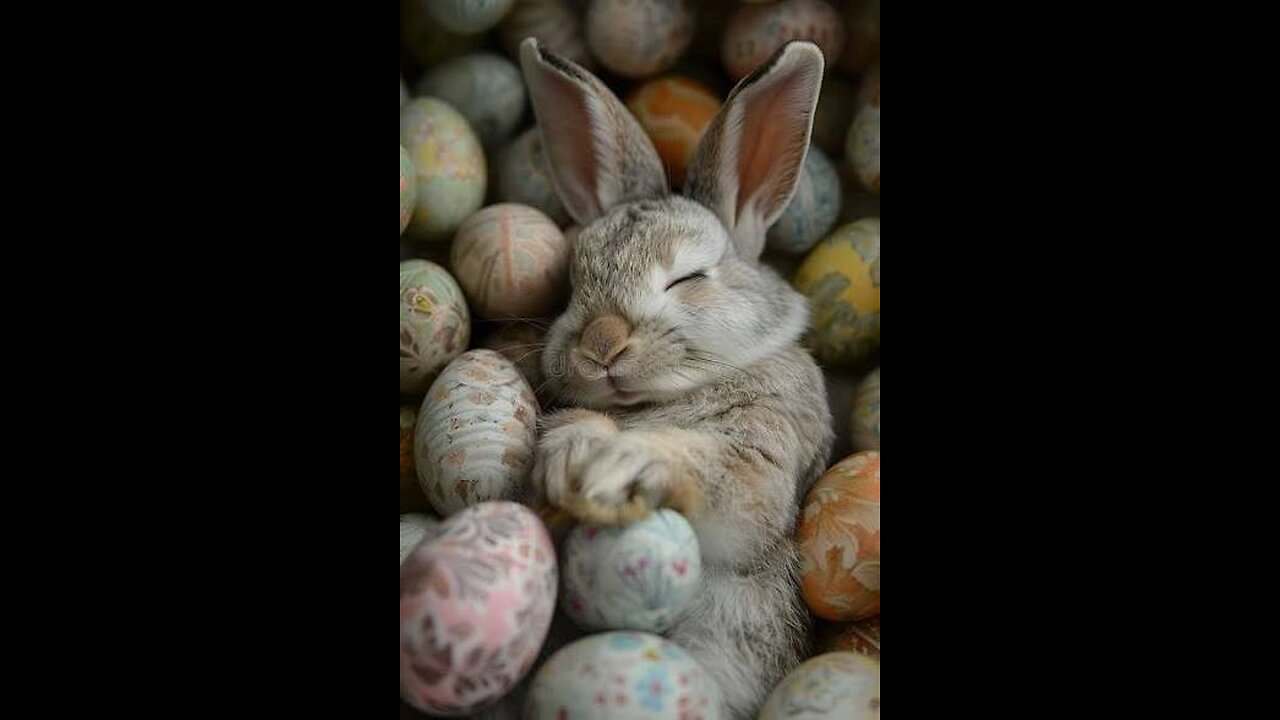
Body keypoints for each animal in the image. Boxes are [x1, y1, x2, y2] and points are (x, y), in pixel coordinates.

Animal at [518, 38, 835, 719]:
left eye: (688, 279)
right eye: (572, 283)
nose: (601, 345)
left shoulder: (766, 456)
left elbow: (734, 491)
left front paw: (616, 463)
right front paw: (573, 451)